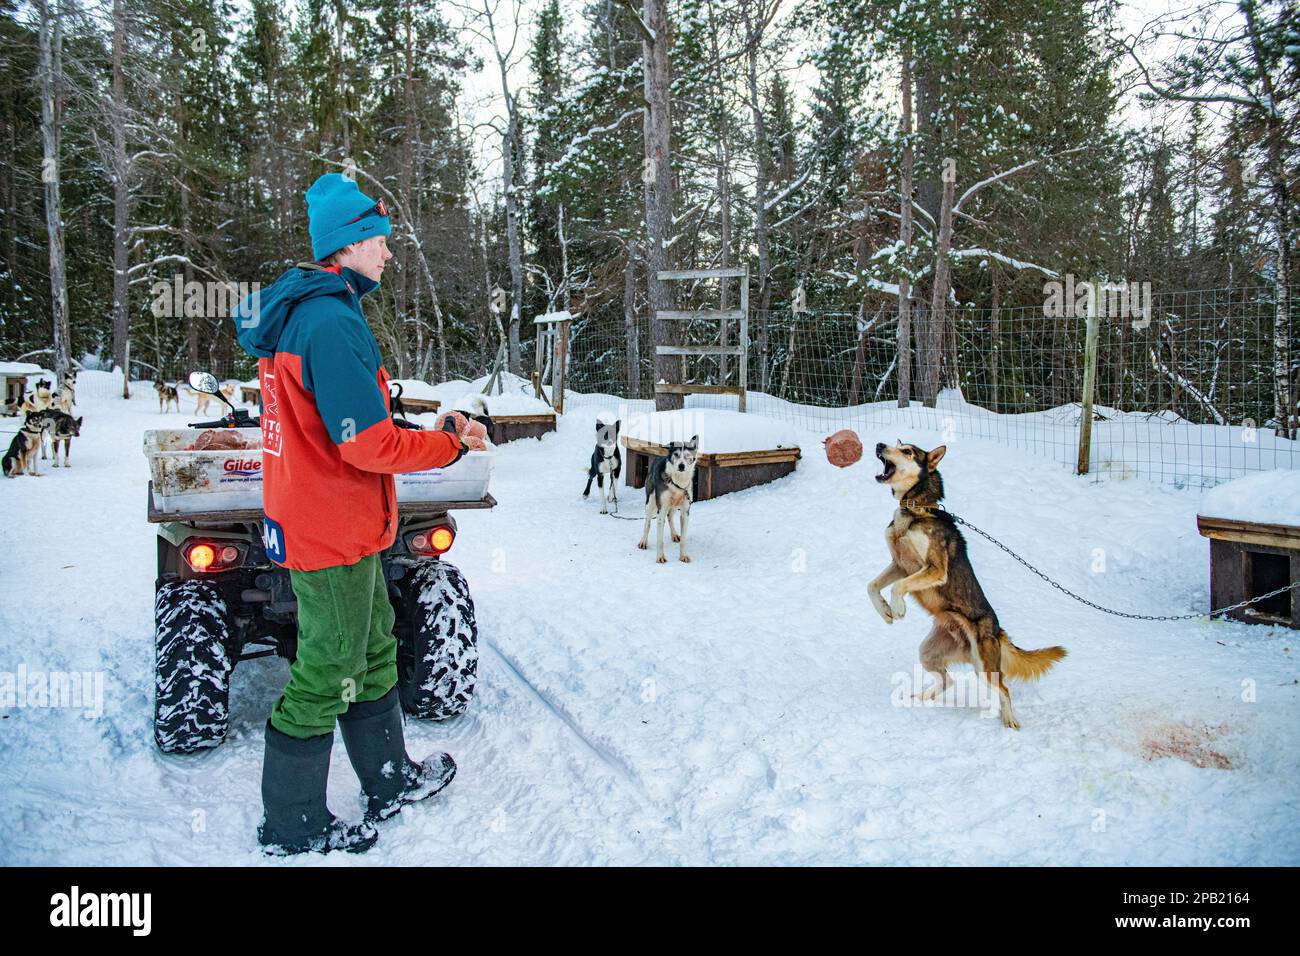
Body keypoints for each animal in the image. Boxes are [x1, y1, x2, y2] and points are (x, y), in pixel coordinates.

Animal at [873, 442, 1066, 733]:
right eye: (896, 445)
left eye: (907, 451)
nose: (880, 445)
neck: (917, 509)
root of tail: (997, 630)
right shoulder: (899, 565)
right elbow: (872, 586)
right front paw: (884, 611)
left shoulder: (933, 569)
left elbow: (898, 587)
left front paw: (897, 607)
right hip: (929, 653)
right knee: (948, 681)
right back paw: (921, 697)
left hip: (983, 666)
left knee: (1004, 688)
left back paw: (1009, 719)